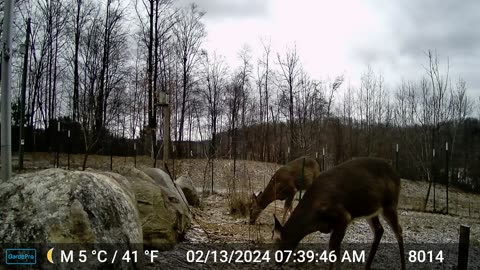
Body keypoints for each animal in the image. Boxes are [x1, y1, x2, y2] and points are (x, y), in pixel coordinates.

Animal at [274, 157, 404, 270]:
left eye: (279, 241)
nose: (277, 262)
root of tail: (397, 175)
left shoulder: (343, 216)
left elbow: (333, 252)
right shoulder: (333, 226)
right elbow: (334, 252)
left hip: (390, 204)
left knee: (399, 230)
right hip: (371, 211)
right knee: (379, 229)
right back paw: (367, 267)